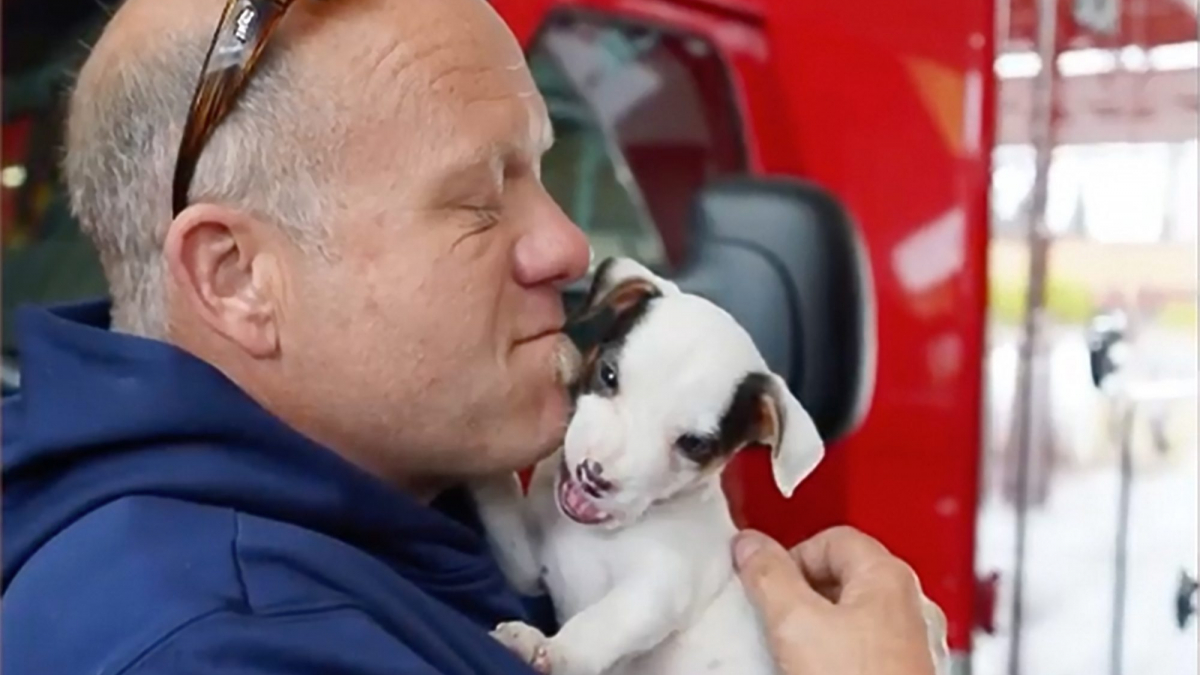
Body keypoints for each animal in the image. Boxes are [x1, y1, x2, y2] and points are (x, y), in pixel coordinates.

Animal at [468, 255, 945, 672]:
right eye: (608, 374)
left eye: (694, 444)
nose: (593, 476)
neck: (605, 535)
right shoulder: (530, 566)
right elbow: (504, 514)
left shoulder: (661, 587)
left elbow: (604, 622)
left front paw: (554, 650)